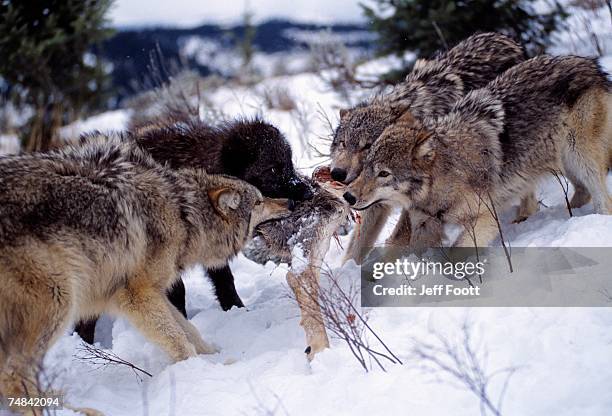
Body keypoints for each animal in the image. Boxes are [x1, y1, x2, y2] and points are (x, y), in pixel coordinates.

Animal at [0, 137, 292, 412]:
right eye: (259, 202)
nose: (289, 202)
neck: (184, 214)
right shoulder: (136, 296)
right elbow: (178, 338)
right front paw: (199, 369)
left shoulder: (155, 292)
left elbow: (189, 329)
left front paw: (213, 356)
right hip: (60, 300)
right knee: (13, 375)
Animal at [330, 32, 524, 262]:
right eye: (343, 143)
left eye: (366, 146)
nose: (337, 173)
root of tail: (501, 37)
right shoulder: (375, 199)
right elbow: (357, 246)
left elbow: (398, 238)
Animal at [344, 56, 612, 247]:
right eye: (367, 167)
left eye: (384, 174)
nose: (348, 196)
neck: (445, 178)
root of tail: (592, 65)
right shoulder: (424, 225)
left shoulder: (485, 219)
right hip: (563, 163)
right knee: (581, 193)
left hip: (580, 158)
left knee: (603, 201)